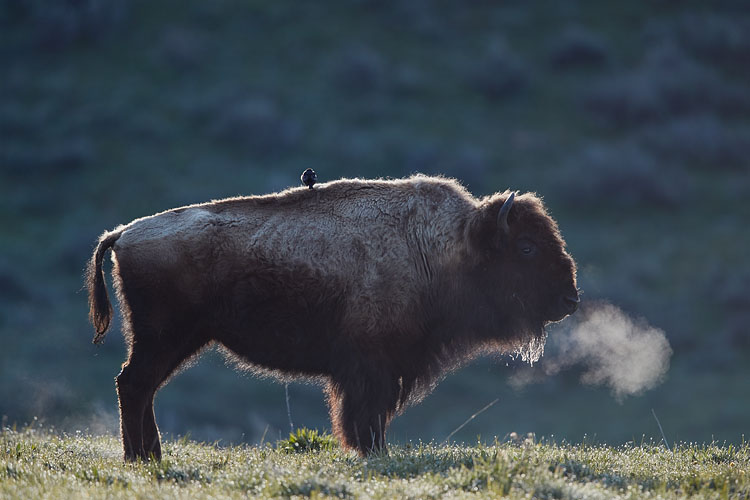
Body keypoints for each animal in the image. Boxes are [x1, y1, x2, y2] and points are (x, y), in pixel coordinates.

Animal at [86, 175, 579, 461]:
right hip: (165, 337)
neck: (442, 247)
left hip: (171, 340)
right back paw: (140, 457)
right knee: (133, 384)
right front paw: (374, 452)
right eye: (526, 247)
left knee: (140, 386)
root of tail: (123, 233)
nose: (570, 299)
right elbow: (366, 414)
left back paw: (151, 455)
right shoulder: (372, 368)